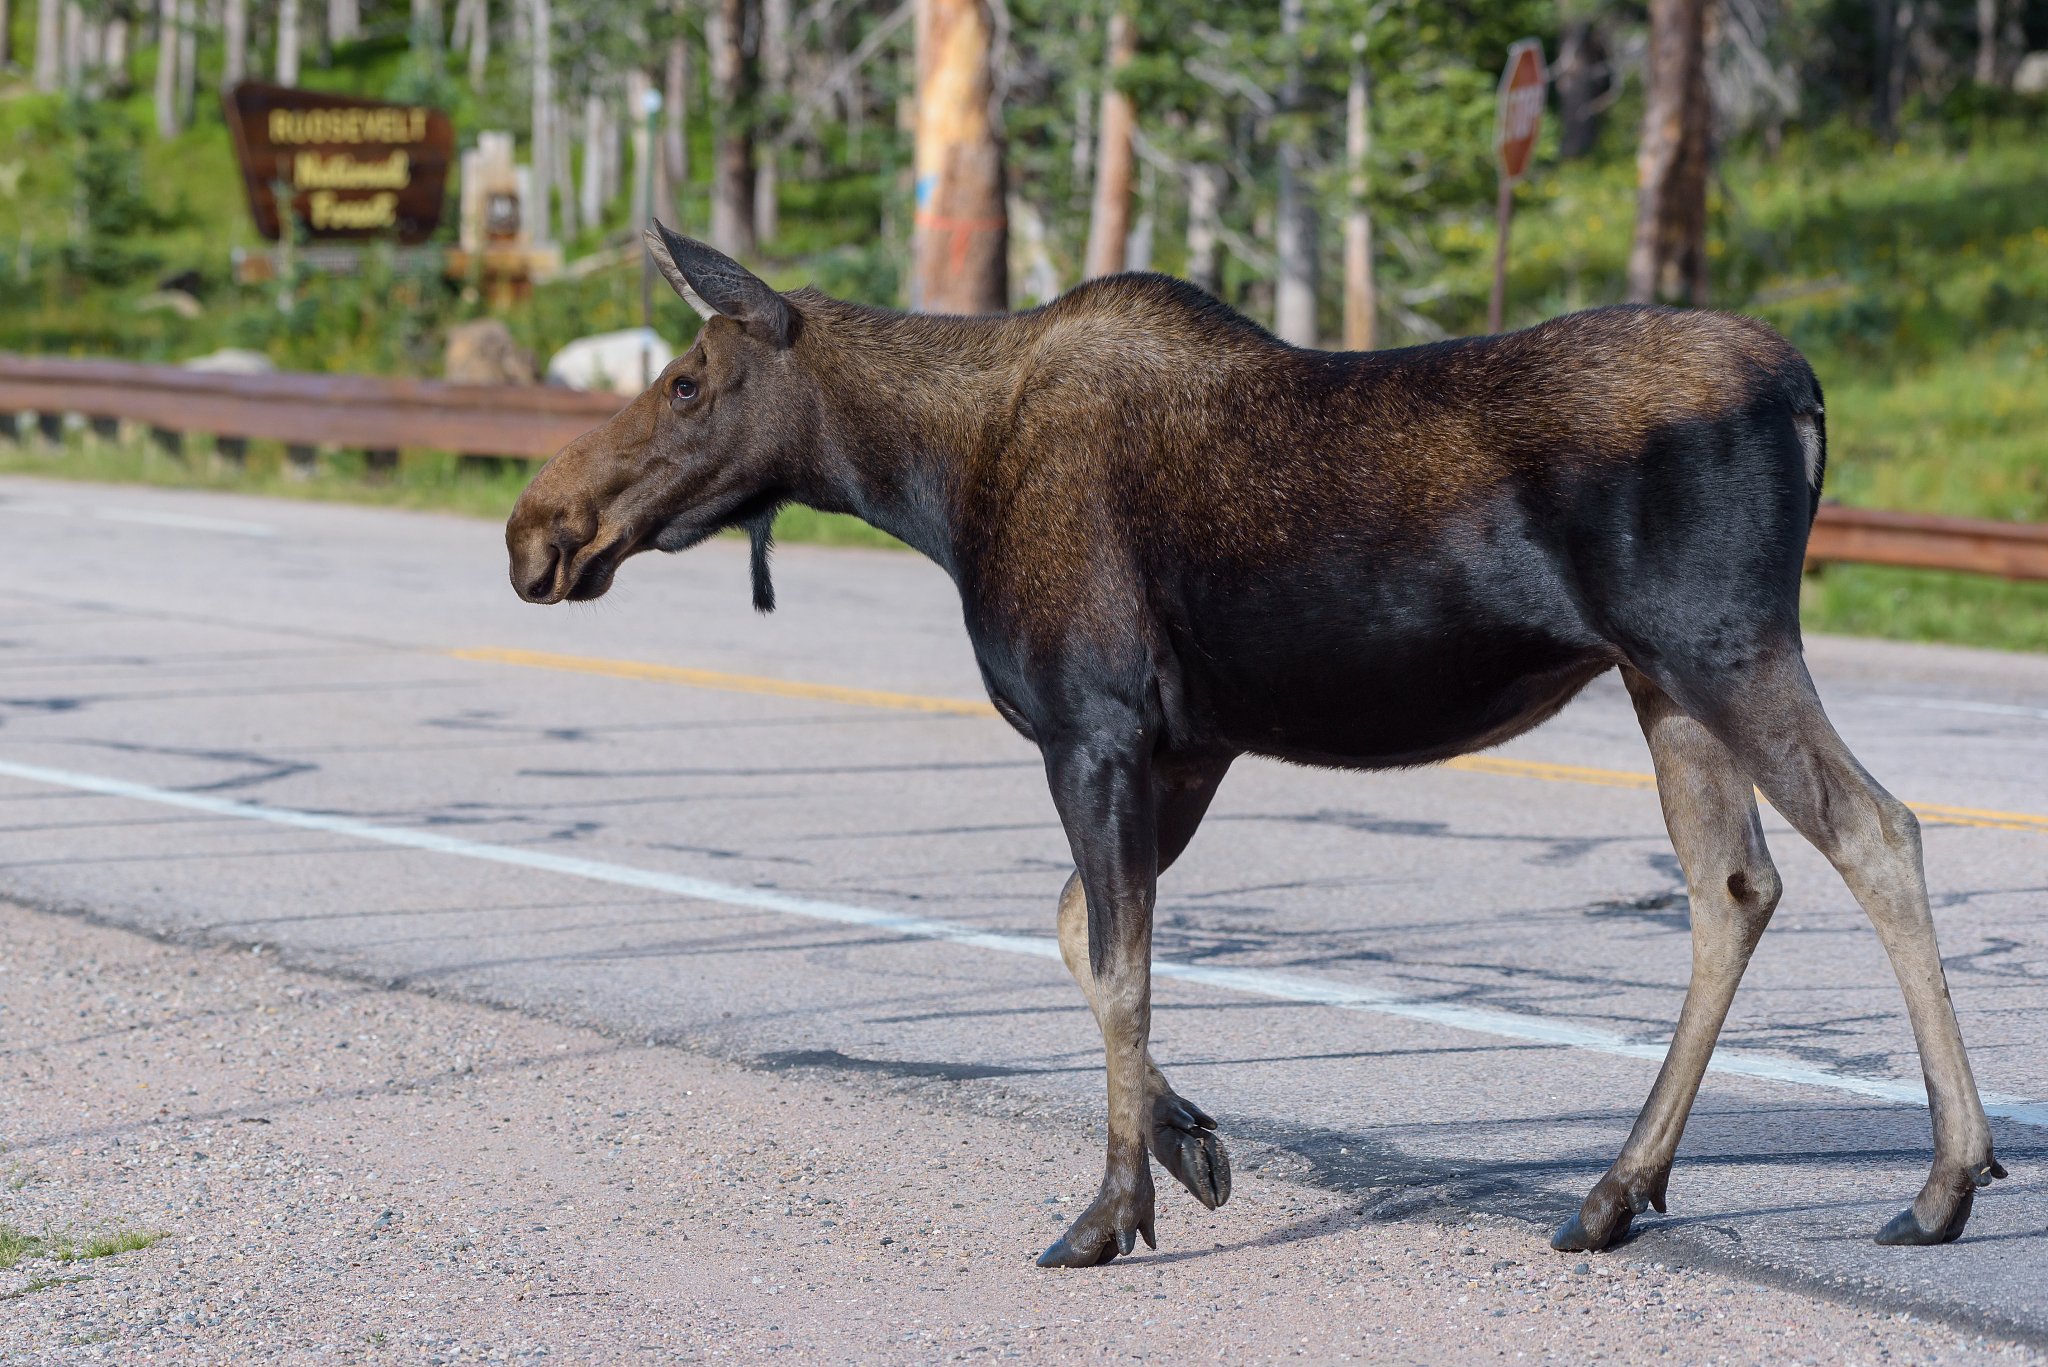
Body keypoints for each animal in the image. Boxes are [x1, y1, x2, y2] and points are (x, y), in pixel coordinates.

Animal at [504, 223, 2005, 1268]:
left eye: (685, 380)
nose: (536, 528)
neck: (929, 485)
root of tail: (1807, 391)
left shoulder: (1096, 727)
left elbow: (1118, 966)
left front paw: (1109, 1209)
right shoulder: (1185, 747)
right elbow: (1080, 932)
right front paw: (1191, 1142)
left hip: (1721, 643)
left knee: (1877, 830)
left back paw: (1942, 1181)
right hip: (1662, 678)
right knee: (1733, 885)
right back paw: (1618, 1188)